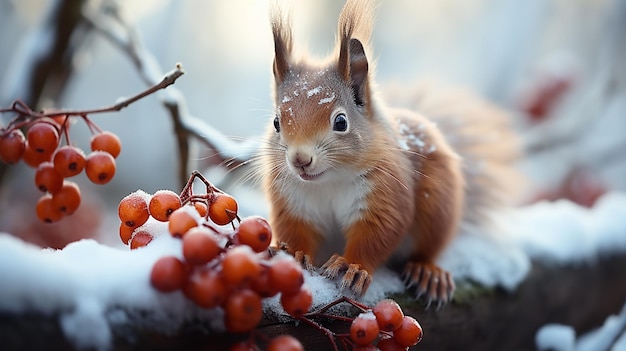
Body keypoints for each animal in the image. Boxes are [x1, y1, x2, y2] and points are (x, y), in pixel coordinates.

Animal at [258, 1, 516, 306]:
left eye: (341, 122)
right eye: (276, 123)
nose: (300, 160)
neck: (329, 181)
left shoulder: (385, 193)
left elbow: (378, 233)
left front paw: (352, 266)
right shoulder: (293, 201)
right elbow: (295, 229)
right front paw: (296, 253)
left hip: (438, 206)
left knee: (427, 248)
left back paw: (427, 272)